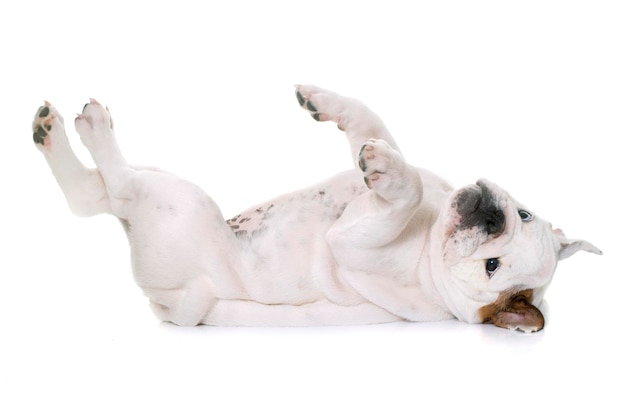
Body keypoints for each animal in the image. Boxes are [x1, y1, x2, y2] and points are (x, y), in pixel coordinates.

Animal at [33, 85, 600, 330]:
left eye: (492, 267)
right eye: (522, 215)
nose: (490, 216)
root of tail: (171, 302)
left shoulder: (354, 244)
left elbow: (408, 188)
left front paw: (393, 175)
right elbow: (373, 126)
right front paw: (320, 100)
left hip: (178, 204)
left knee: (114, 188)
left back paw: (88, 126)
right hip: (166, 180)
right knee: (94, 195)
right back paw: (52, 129)